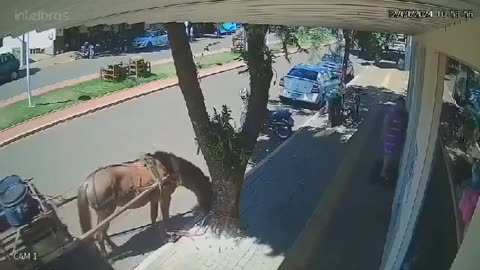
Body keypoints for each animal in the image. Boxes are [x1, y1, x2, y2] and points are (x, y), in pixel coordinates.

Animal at [76, 151, 212, 256]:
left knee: (102, 231)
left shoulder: (154, 199)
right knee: (99, 233)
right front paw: (169, 233)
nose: (208, 209)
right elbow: (165, 216)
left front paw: (158, 232)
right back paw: (106, 254)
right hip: (106, 211)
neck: (168, 168)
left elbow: (153, 216)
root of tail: (88, 182)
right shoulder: (165, 197)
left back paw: (113, 247)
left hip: (106, 212)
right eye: (208, 191)